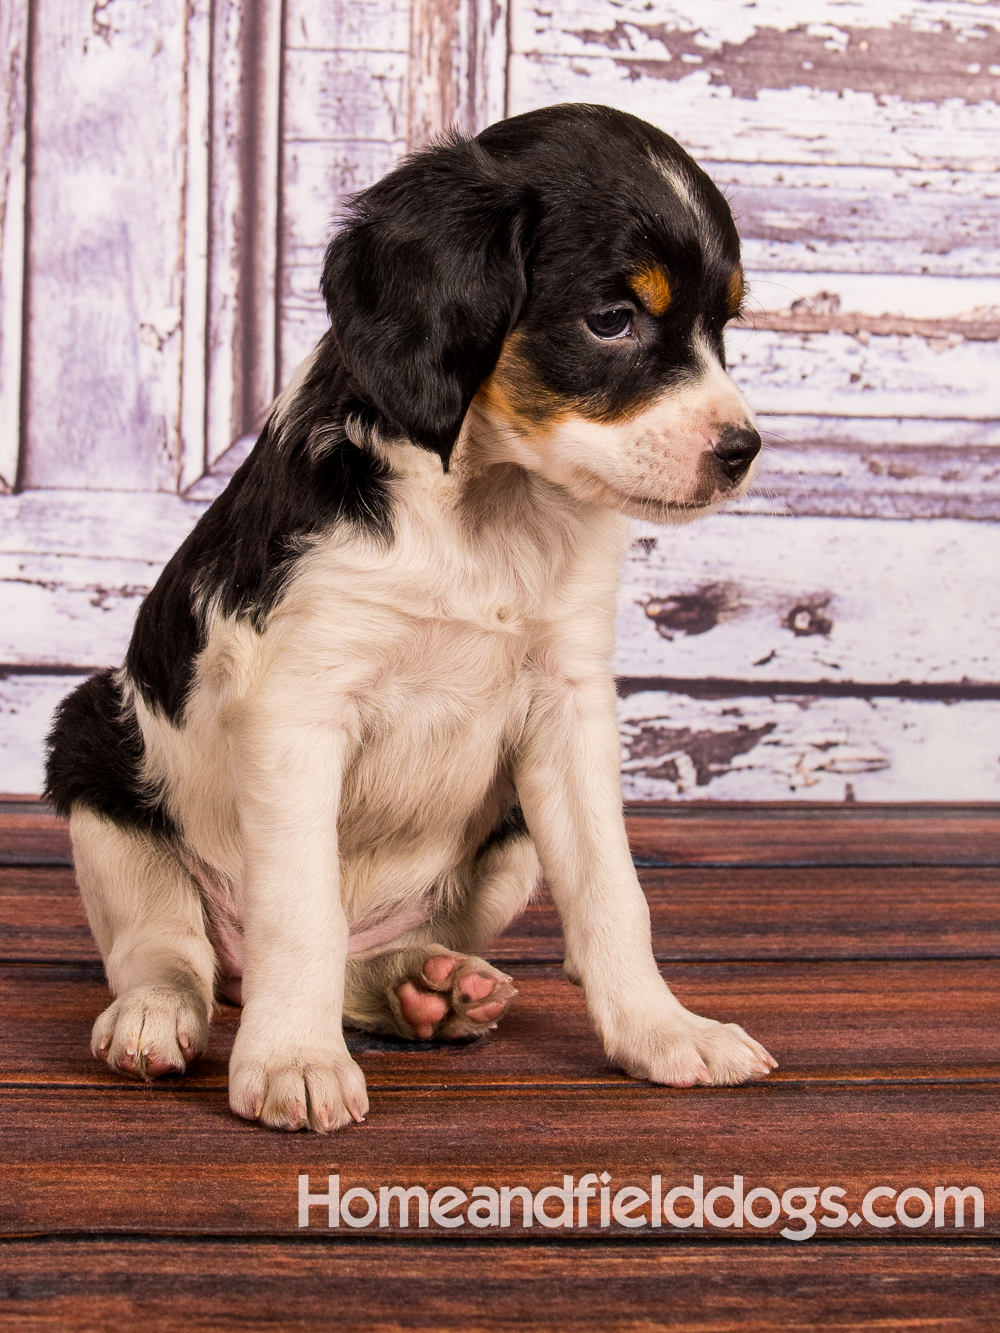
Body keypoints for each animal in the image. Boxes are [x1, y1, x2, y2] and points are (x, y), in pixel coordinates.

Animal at [47, 101, 778, 1135]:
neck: (486, 511)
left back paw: (420, 989)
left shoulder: (569, 709)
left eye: (725, 322)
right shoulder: (300, 712)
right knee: (173, 945)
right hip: (95, 754)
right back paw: (158, 1015)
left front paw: (662, 1030)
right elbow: (299, 914)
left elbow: (612, 891)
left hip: (507, 841)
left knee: (360, 956)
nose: (742, 450)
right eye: (612, 319)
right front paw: (294, 1061)